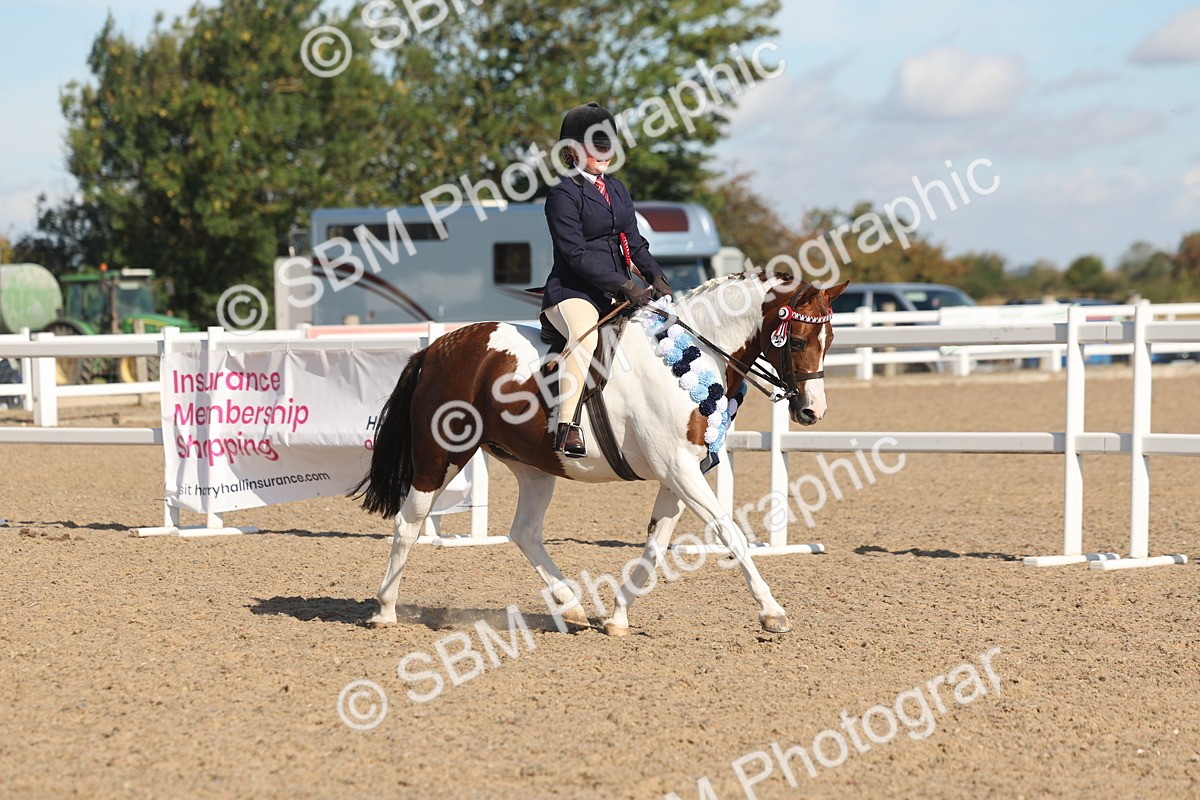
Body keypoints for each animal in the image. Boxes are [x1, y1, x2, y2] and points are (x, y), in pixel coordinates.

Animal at [352, 272, 849, 634]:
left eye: (831, 342)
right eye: (797, 341)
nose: (813, 410)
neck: (693, 357)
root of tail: (439, 347)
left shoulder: (679, 474)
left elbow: (654, 547)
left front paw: (617, 617)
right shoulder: (680, 470)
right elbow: (730, 533)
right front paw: (772, 611)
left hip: (534, 465)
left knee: (524, 532)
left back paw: (570, 606)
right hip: (440, 454)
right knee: (409, 523)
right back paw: (385, 610)